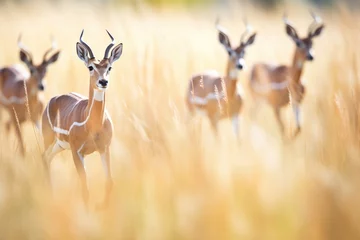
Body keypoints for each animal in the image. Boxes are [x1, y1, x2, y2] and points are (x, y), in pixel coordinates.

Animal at [41, 30, 123, 209]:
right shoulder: (77, 151)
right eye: (91, 67)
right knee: (43, 158)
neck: (93, 125)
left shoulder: (104, 148)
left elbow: (110, 182)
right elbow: (85, 187)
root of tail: (52, 100)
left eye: (109, 67)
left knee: (47, 159)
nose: (103, 81)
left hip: (59, 146)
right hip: (50, 141)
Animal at [250, 11, 324, 139]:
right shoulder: (276, 107)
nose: (310, 56)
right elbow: (283, 129)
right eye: (298, 43)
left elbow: (298, 128)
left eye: (312, 43)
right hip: (257, 100)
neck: (293, 80)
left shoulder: (296, 103)